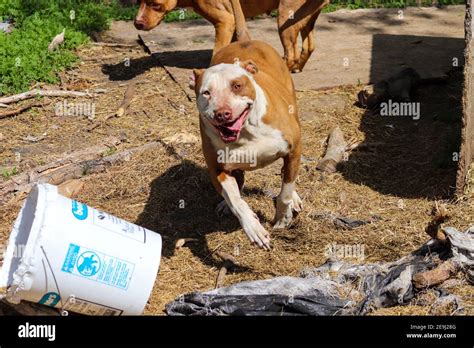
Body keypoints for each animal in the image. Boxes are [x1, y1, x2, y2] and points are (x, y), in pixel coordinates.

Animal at [135, 0, 330, 71]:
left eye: (155, 4)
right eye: (139, 1)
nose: (137, 23)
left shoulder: (226, 21)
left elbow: (217, 53)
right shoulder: (235, 23)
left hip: (285, 19)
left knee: (291, 54)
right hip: (306, 20)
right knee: (309, 47)